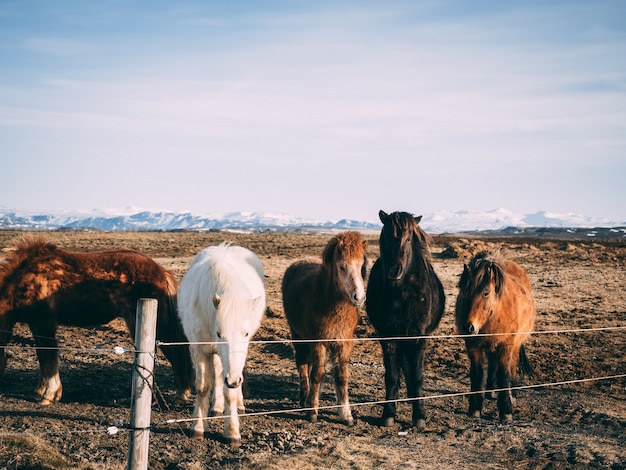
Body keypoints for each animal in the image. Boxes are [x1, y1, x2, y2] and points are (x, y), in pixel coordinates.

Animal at [0, 237, 193, 406]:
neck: (24, 278)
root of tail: (161, 271)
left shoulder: (44, 322)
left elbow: (48, 356)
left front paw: (50, 394)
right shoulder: (36, 324)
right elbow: (42, 356)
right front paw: (41, 391)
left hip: (158, 325)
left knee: (176, 352)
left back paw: (181, 395)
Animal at [176, 244, 266, 446]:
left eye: (245, 333)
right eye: (219, 333)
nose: (233, 380)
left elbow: (229, 393)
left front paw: (232, 432)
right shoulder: (200, 350)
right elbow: (203, 387)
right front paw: (198, 427)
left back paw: (238, 405)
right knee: (217, 373)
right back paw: (216, 407)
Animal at [280, 231, 366, 426]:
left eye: (361, 265)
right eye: (342, 267)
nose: (359, 297)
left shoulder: (343, 343)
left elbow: (341, 376)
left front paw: (346, 414)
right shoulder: (319, 342)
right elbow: (317, 374)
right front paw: (312, 411)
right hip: (298, 335)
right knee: (303, 364)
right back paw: (304, 397)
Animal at [364, 210, 446, 430]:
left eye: (408, 238)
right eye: (386, 236)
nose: (394, 270)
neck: (403, 295)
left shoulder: (419, 337)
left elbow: (417, 376)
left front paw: (420, 416)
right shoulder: (388, 336)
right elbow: (392, 376)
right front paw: (388, 414)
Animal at [450, 250, 532, 422]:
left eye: (486, 293)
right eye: (463, 293)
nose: (469, 327)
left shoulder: (506, 345)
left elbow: (504, 374)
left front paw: (506, 411)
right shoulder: (473, 346)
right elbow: (477, 374)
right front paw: (475, 408)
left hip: (514, 345)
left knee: (511, 367)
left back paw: (512, 395)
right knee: (493, 364)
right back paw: (490, 392)